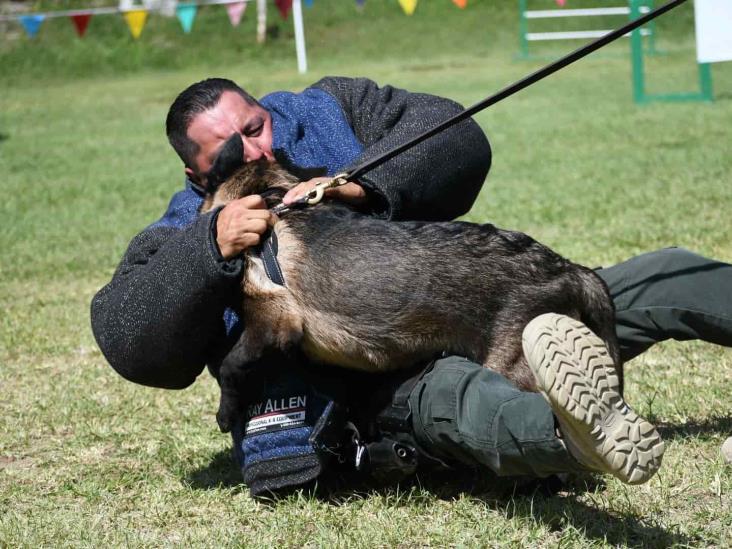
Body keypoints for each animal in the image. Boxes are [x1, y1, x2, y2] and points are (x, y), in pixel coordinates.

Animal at [202, 159, 624, 432]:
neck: (273, 203)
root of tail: (567, 267)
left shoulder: (272, 322)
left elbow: (231, 365)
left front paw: (226, 414)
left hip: (516, 366)